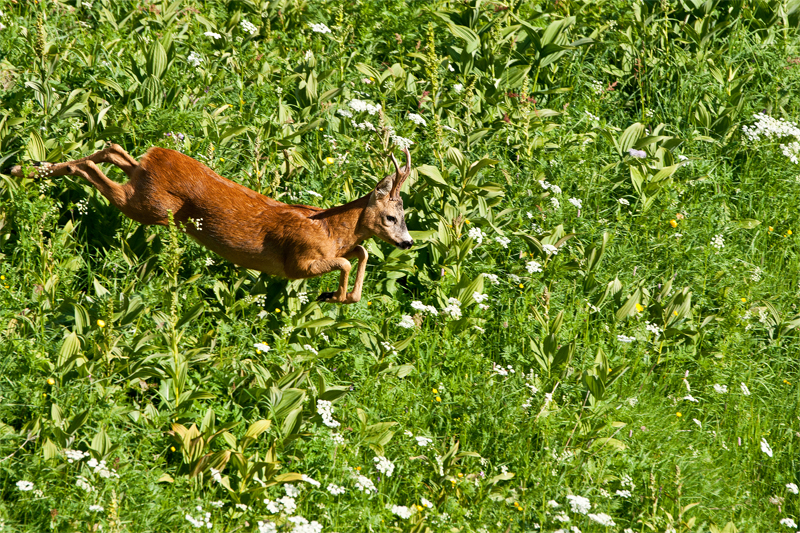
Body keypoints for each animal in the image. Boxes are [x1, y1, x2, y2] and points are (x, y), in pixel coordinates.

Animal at [7, 143, 412, 304]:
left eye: (406, 218)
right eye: (391, 216)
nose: (407, 243)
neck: (329, 228)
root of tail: (156, 155)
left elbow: (360, 252)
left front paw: (341, 297)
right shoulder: (298, 261)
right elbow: (345, 259)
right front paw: (334, 296)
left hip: (144, 188)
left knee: (114, 151)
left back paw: (26, 169)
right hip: (153, 207)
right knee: (94, 168)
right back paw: (32, 171)